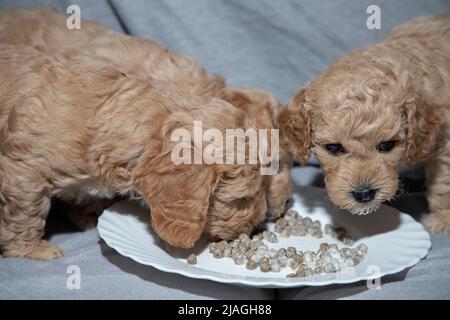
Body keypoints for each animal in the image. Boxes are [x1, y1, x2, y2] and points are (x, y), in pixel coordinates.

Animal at [0, 44, 270, 260]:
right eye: (240, 199)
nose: (258, 224)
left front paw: (86, 215)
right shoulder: (24, 174)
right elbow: (25, 214)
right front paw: (32, 249)